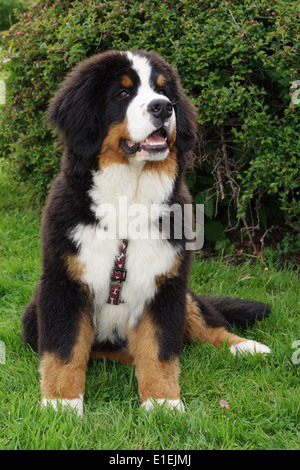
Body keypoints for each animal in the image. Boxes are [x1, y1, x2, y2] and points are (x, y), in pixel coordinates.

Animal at [22, 50, 272, 418]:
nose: (163, 108)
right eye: (123, 93)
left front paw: (162, 402)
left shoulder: (165, 284)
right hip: (32, 316)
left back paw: (248, 347)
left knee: (207, 324)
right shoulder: (63, 283)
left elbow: (158, 348)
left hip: (185, 296)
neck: (130, 196)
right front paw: (62, 403)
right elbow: (66, 349)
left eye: (162, 90)